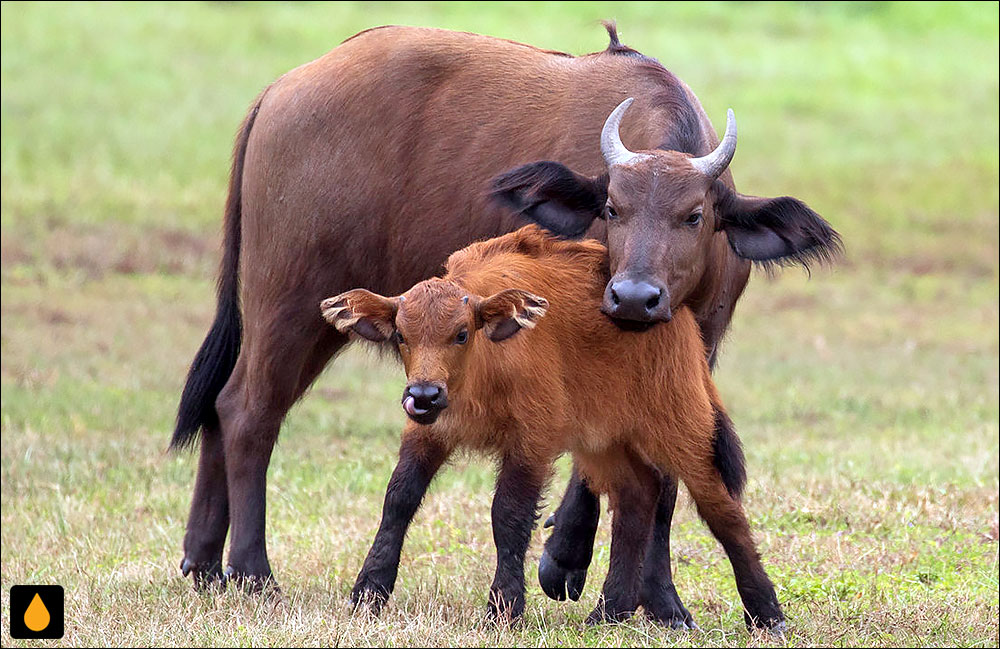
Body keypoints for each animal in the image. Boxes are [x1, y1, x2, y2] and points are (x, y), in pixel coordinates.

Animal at [324, 225, 784, 632]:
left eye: (461, 333)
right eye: (402, 335)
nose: (423, 395)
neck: (486, 366)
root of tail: (678, 315)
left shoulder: (532, 442)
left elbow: (508, 515)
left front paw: (504, 610)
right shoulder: (427, 434)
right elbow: (398, 499)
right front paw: (368, 593)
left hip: (682, 429)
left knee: (722, 509)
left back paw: (767, 614)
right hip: (603, 443)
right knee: (637, 497)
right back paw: (608, 611)